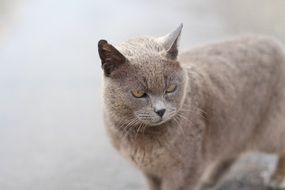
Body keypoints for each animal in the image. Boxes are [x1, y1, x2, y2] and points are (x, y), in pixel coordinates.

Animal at [97, 24, 284, 190]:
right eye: (138, 93)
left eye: (171, 88)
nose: (161, 110)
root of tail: (277, 44)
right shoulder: (150, 173)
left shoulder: (187, 172)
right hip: (235, 130)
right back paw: (209, 181)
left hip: (268, 132)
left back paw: (277, 179)